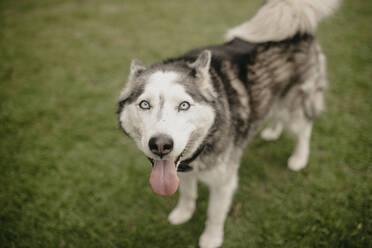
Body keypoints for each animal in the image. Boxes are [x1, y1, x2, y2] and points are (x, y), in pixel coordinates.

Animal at [117, 0, 338, 248]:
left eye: (184, 105)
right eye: (144, 104)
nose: (161, 145)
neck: (204, 144)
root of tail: (300, 26)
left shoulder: (224, 182)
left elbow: (214, 213)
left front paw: (211, 238)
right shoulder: (183, 170)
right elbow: (187, 194)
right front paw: (183, 214)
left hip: (294, 104)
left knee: (304, 128)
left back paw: (299, 158)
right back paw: (273, 131)